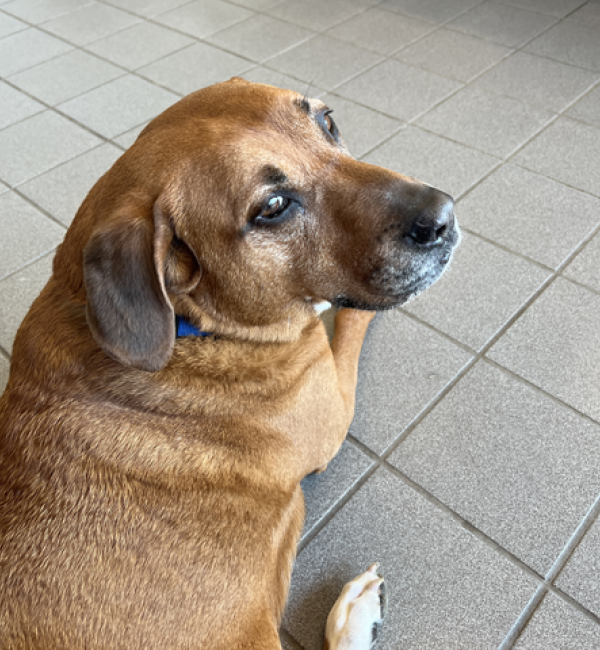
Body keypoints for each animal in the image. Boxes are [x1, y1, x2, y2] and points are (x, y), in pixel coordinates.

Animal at [0, 77, 460, 648]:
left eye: (328, 122)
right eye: (273, 206)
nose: (443, 214)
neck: (188, 327)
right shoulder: (331, 402)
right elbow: (349, 329)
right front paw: (354, 313)